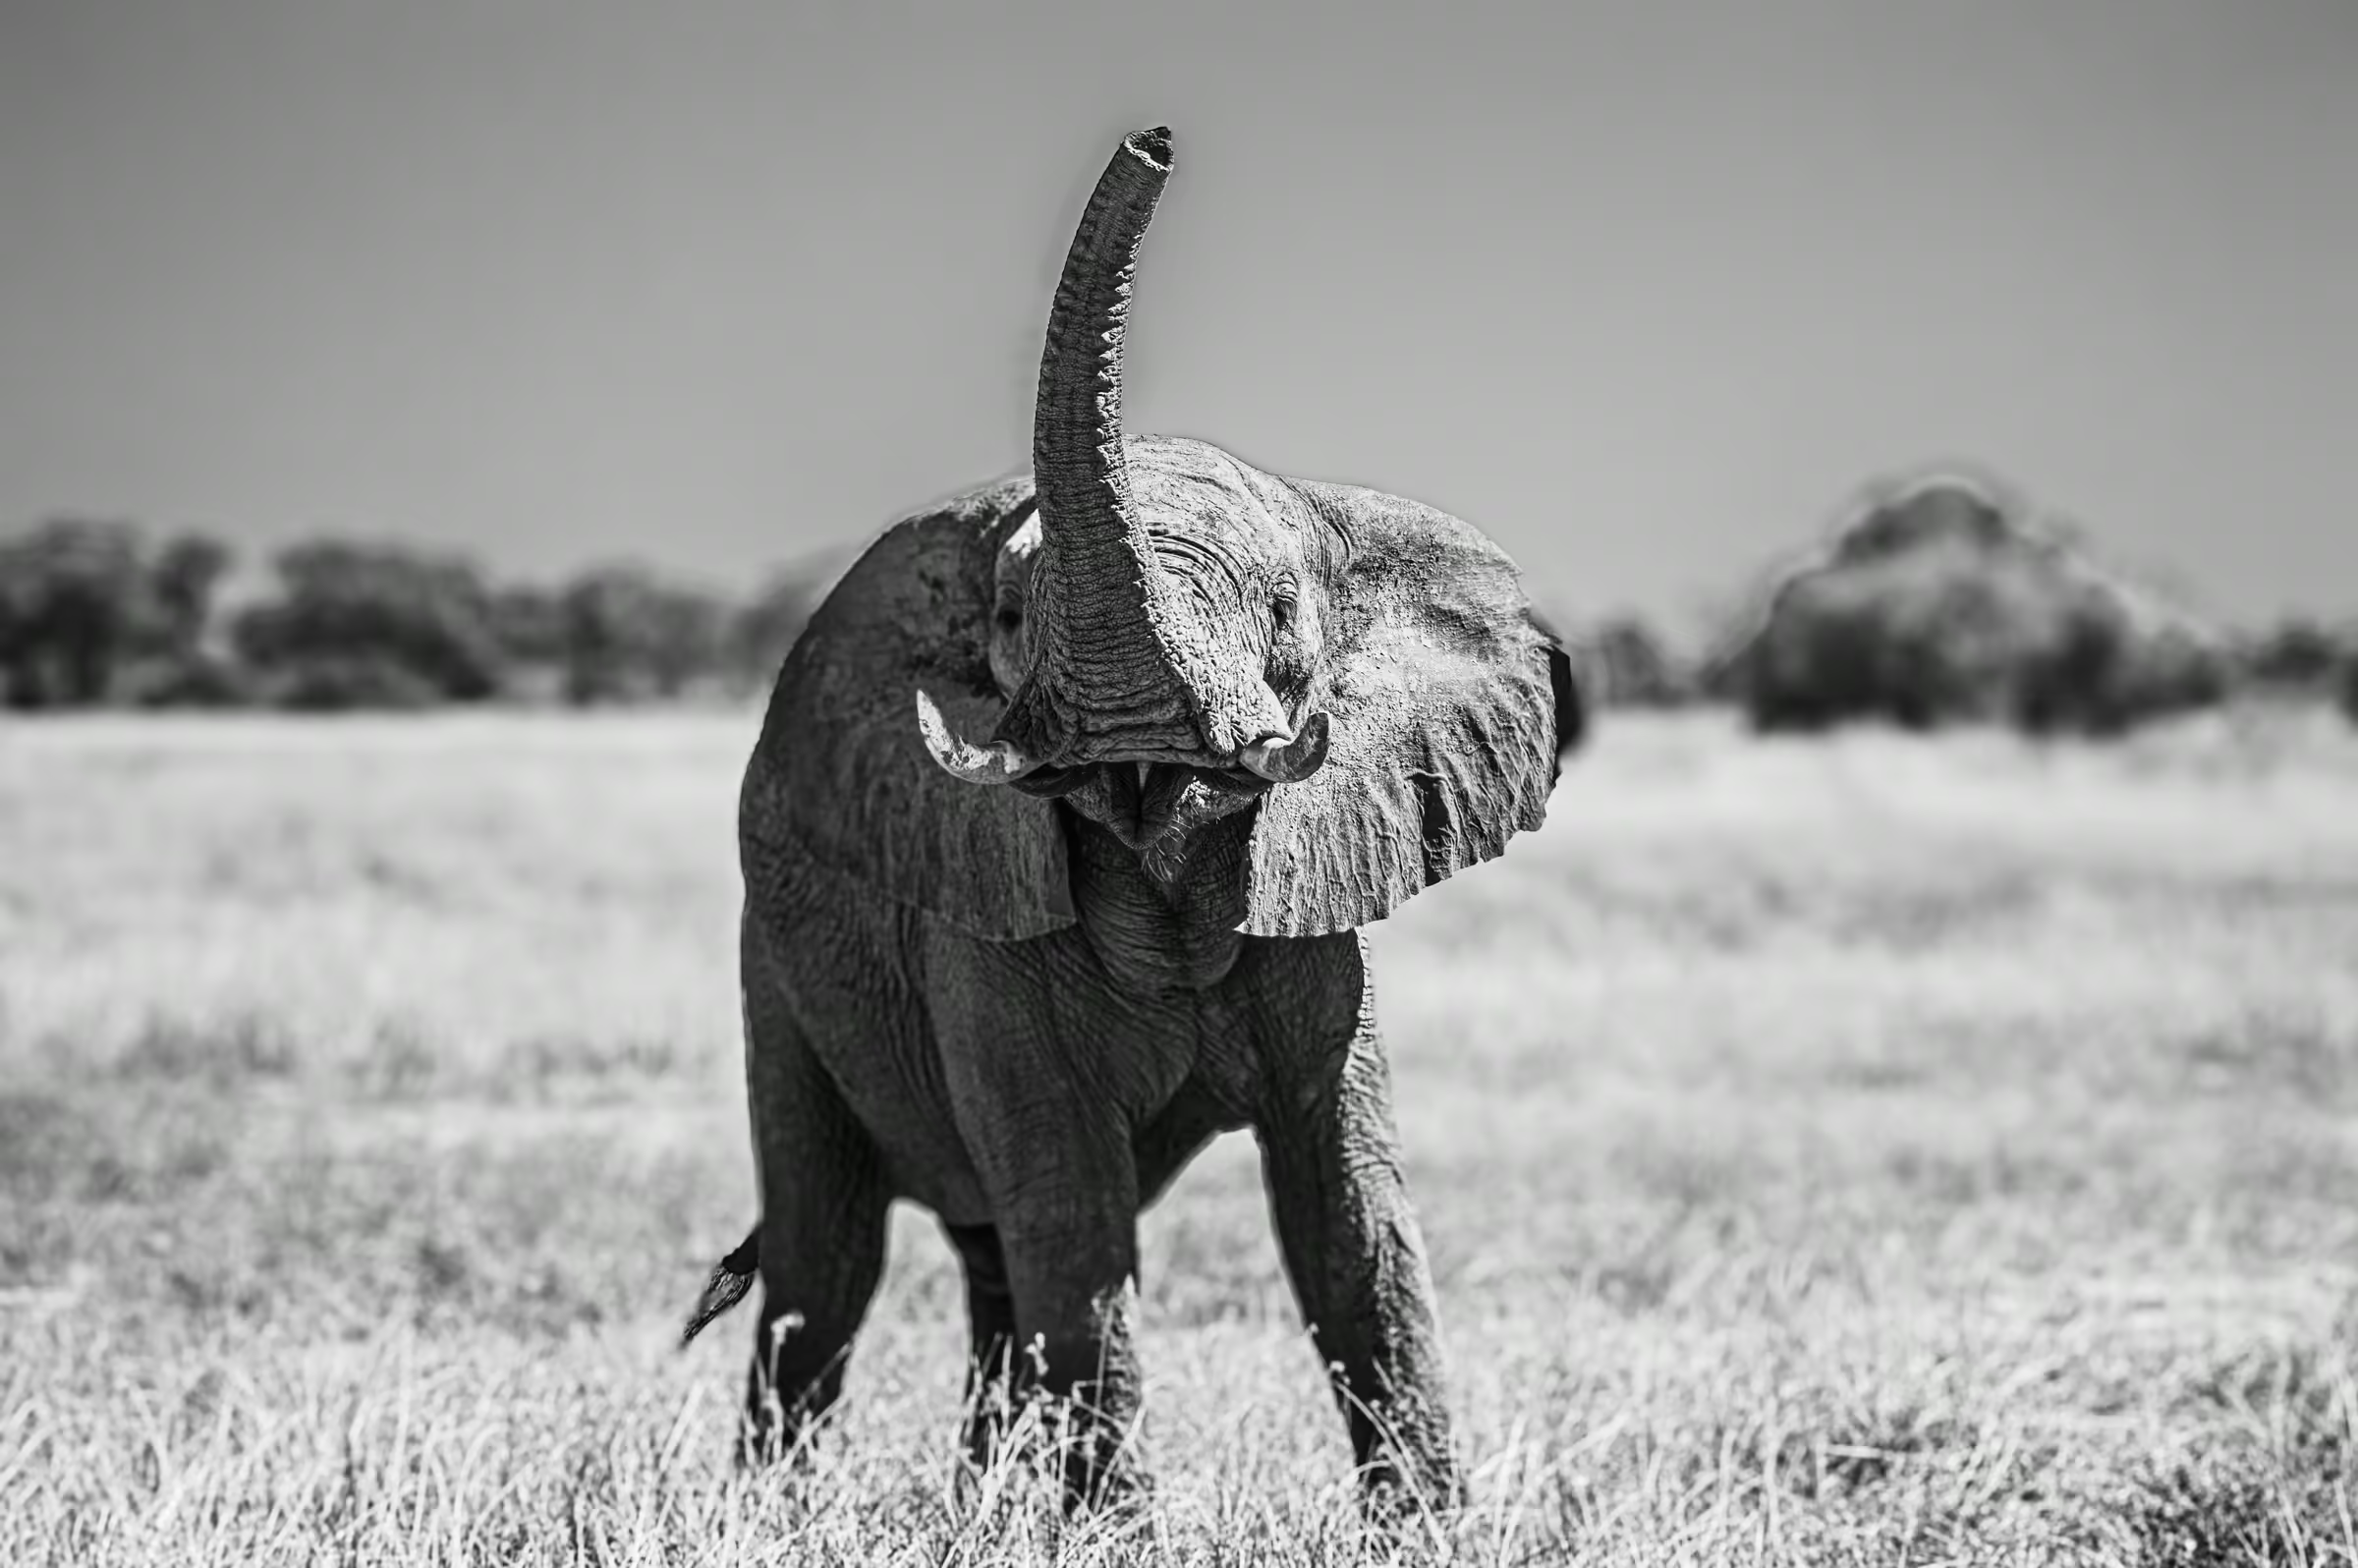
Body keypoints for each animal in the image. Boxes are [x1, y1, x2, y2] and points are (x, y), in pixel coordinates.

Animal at [683, 125, 1576, 1509]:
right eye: (1006, 619)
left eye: (1283, 617)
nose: (1154, 142)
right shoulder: (979, 920)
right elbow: (1074, 1214)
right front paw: (1116, 1530)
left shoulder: (1315, 903)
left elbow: (1347, 1215)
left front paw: (1428, 1529)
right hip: (776, 968)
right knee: (827, 1261)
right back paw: (781, 1511)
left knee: (983, 1265)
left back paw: (987, 1509)